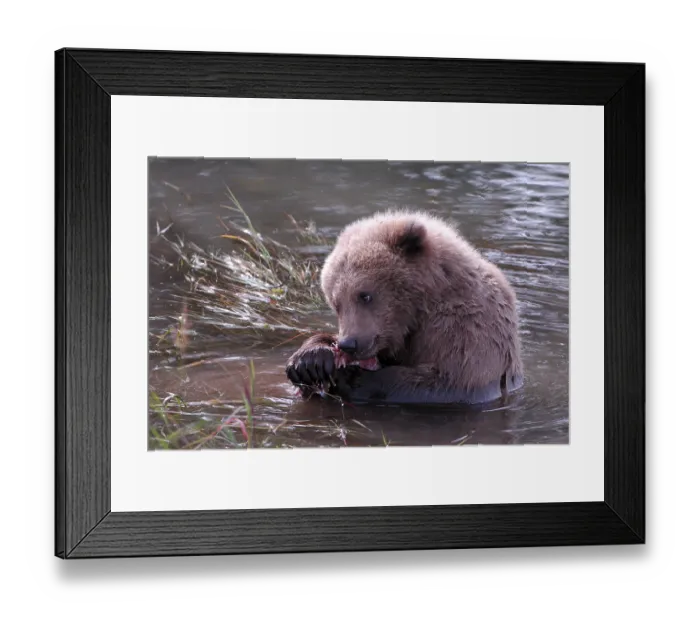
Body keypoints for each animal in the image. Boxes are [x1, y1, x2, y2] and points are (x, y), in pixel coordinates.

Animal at [285, 210, 524, 405]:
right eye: (336, 303)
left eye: (365, 295)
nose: (348, 344)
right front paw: (311, 361)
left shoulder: (467, 332)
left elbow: (448, 382)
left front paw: (351, 377)